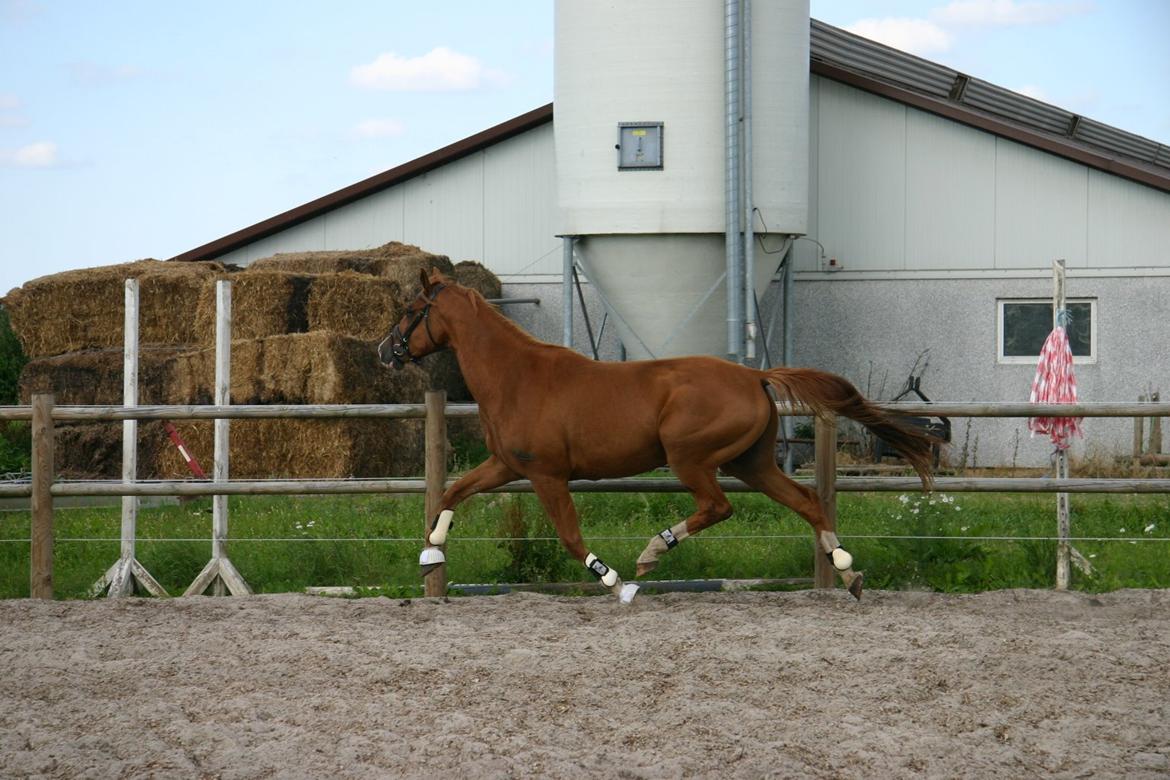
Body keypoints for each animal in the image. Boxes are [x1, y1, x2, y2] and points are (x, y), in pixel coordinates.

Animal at [379, 268, 935, 603]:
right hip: (752, 462)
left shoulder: (547, 474)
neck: (517, 377)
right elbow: (451, 492)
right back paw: (847, 571)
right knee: (807, 501)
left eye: (409, 311)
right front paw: (430, 556)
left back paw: (651, 553)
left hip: (690, 456)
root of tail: (754, 376)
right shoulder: (507, 465)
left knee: (718, 507)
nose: (386, 351)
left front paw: (615, 582)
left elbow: (569, 535)